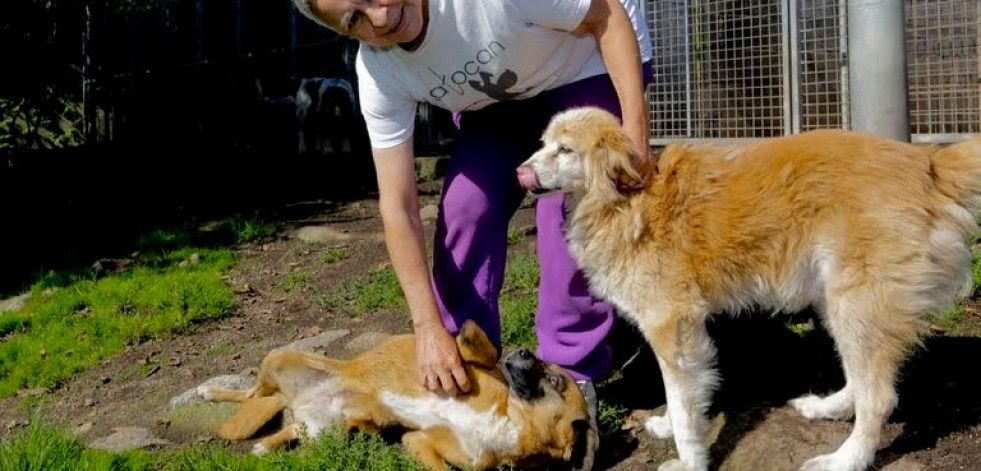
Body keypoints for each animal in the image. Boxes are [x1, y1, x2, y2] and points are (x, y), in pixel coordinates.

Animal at [196, 320, 592, 471]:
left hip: (329, 434)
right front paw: (470, 334)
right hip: (278, 357)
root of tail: (297, 402)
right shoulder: (468, 369)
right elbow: (486, 351)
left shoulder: (417, 440)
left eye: (556, 380)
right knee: (250, 392)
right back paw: (209, 391)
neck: (509, 423)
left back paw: (267, 446)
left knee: (293, 433)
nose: (525, 350)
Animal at [512, 108, 980, 471]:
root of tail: (927, 162)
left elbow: (682, 403)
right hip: (838, 301)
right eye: (543, 143)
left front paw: (689, 461)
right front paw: (670, 427)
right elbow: (683, 400)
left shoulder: (672, 326)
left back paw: (845, 460)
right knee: (860, 379)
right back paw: (826, 408)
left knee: (879, 397)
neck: (625, 199)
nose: (519, 171)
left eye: (565, 150)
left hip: (857, 302)